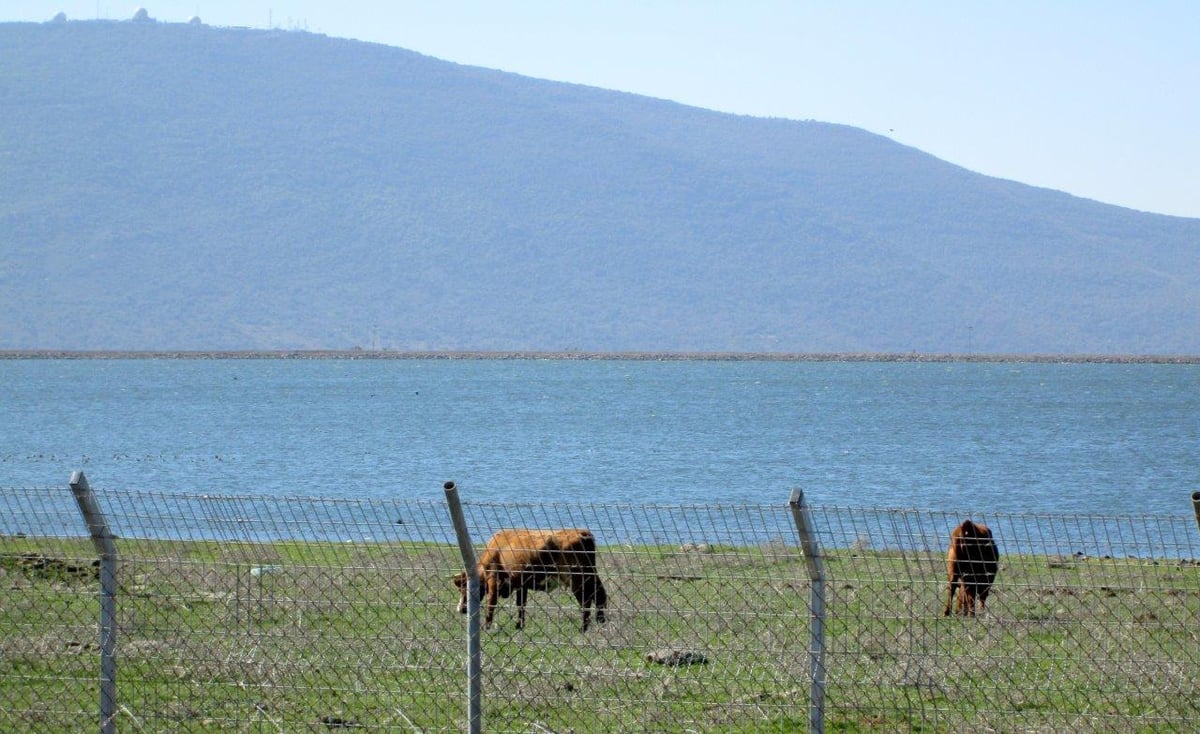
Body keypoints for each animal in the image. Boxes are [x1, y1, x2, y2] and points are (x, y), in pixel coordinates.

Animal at [451, 527, 609, 628]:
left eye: (463, 588)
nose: (460, 609)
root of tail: (582, 532)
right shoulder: (520, 583)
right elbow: (521, 604)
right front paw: (519, 626)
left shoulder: (494, 580)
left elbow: (491, 603)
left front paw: (486, 626)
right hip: (590, 575)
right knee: (600, 595)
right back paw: (601, 623)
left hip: (576, 578)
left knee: (586, 600)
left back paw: (584, 628)